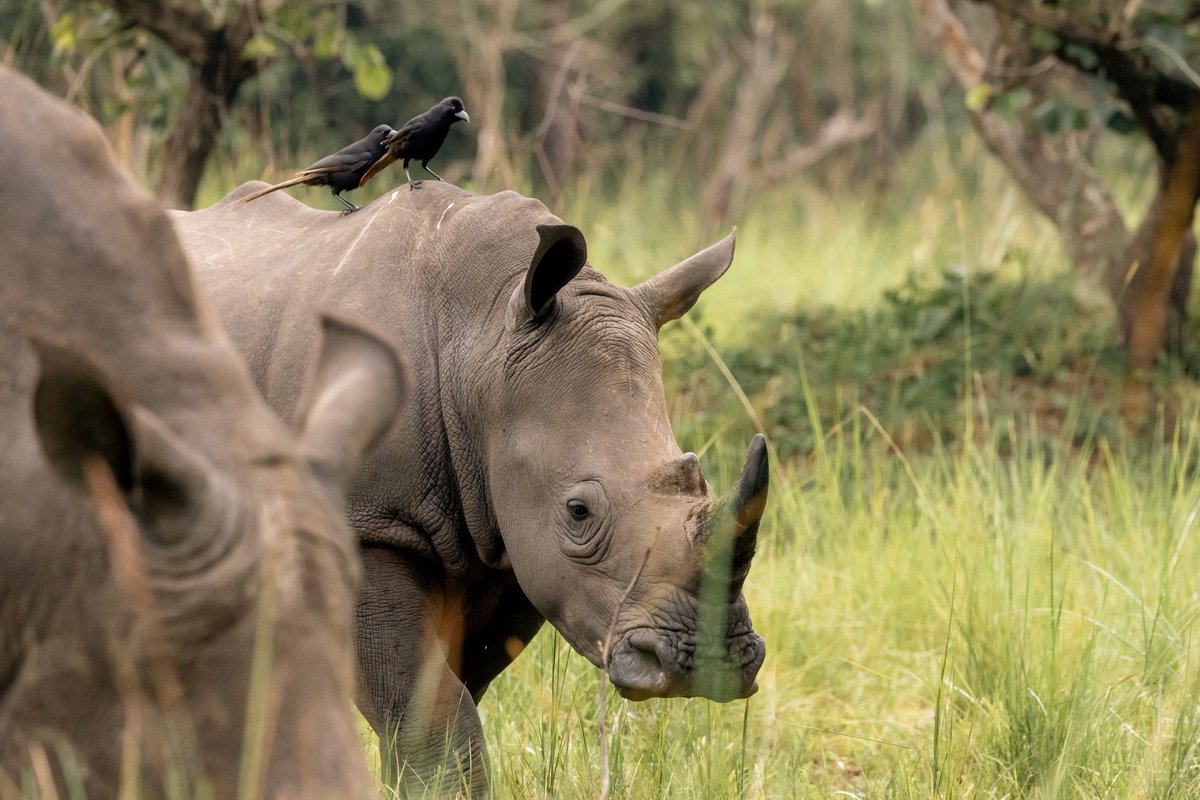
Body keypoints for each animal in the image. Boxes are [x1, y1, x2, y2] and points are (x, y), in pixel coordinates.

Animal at [174, 179, 769, 793]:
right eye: (578, 511)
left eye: (697, 476)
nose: (707, 665)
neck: (479, 342)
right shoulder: (367, 523)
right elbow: (433, 715)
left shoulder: (506, 547)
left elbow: (443, 704)